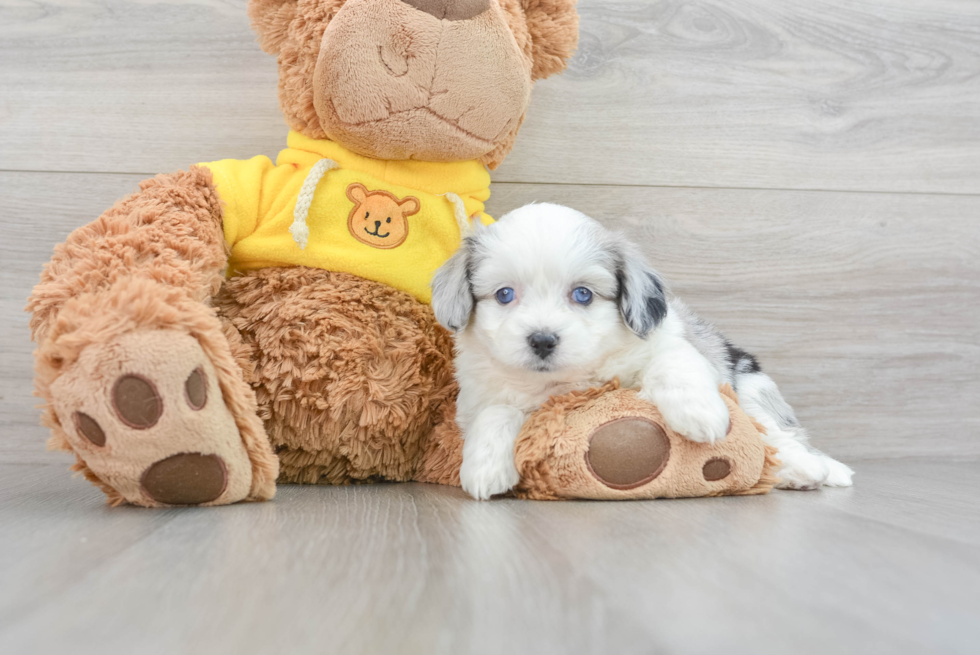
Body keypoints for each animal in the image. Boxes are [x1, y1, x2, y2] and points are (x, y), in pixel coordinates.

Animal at [432, 202, 852, 500]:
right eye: (505, 294)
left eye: (582, 294)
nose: (542, 340)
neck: (564, 383)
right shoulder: (477, 398)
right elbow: (496, 412)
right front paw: (485, 467)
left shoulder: (671, 343)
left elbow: (672, 362)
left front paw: (698, 414)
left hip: (752, 387)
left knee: (776, 435)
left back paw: (812, 469)